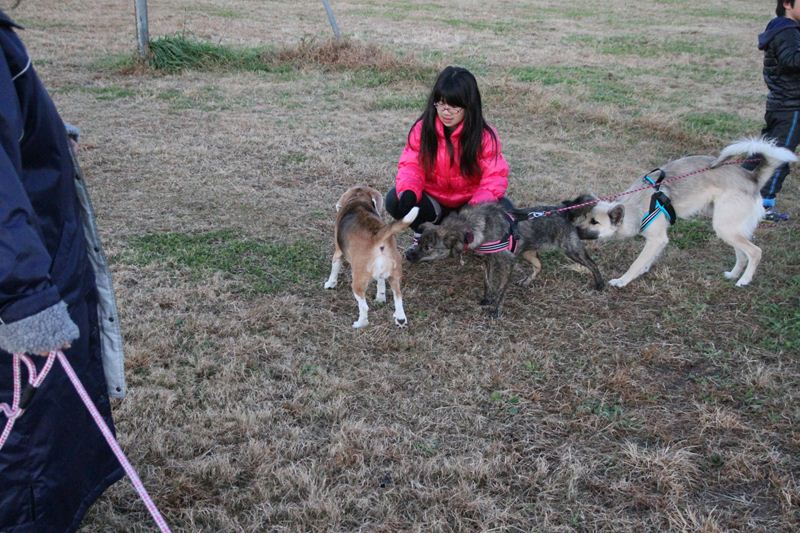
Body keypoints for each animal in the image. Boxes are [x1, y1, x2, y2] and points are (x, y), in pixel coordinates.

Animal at [324, 186, 419, 328]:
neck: (358, 201)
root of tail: (378, 237)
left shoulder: (338, 251)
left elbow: (334, 268)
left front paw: (330, 284)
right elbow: (381, 283)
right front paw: (380, 298)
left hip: (358, 282)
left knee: (364, 307)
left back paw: (359, 324)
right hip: (395, 275)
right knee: (398, 297)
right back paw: (400, 319)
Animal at [406, 197, 604, 317]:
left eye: (428, 248)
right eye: (418, 242)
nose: (407, 255)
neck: (471, 228)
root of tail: (564, 211)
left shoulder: (508, 262)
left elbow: (501, 289)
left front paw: (495, 309)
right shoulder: (488, 260)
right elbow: (488, 282)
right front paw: (487, 299)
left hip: (572, 250)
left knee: (592, 264)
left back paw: (600, 284)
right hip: (528, 252)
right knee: (539, 265)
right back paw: (526, 281)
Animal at [572, 138, 797, 288]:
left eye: (595, 222)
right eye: (585, 217)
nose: (574, 230)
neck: (635, 206)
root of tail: (752, 178)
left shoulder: (657, 238)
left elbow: (637, 263)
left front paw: (622, 280)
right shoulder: (658, 241)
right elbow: (647, 260)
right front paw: (644, 270)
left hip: (725, 226)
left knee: (755, 252)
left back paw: (744, 280)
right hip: (730, 228)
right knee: (742, 254)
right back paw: (734, 275)